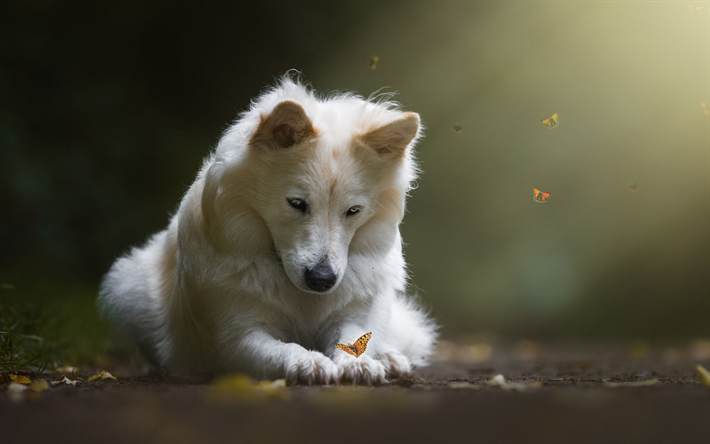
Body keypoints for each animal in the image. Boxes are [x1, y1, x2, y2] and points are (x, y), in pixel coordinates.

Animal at [98, 73, 436, 386]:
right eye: (297, 203)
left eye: (353, 211)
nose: (322, 280)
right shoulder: (237, 338)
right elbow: (284, 349)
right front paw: (309, 362)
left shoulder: (353, 314)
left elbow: (353, 340)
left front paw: (361, 363)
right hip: (131, 287)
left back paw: (391, 358)